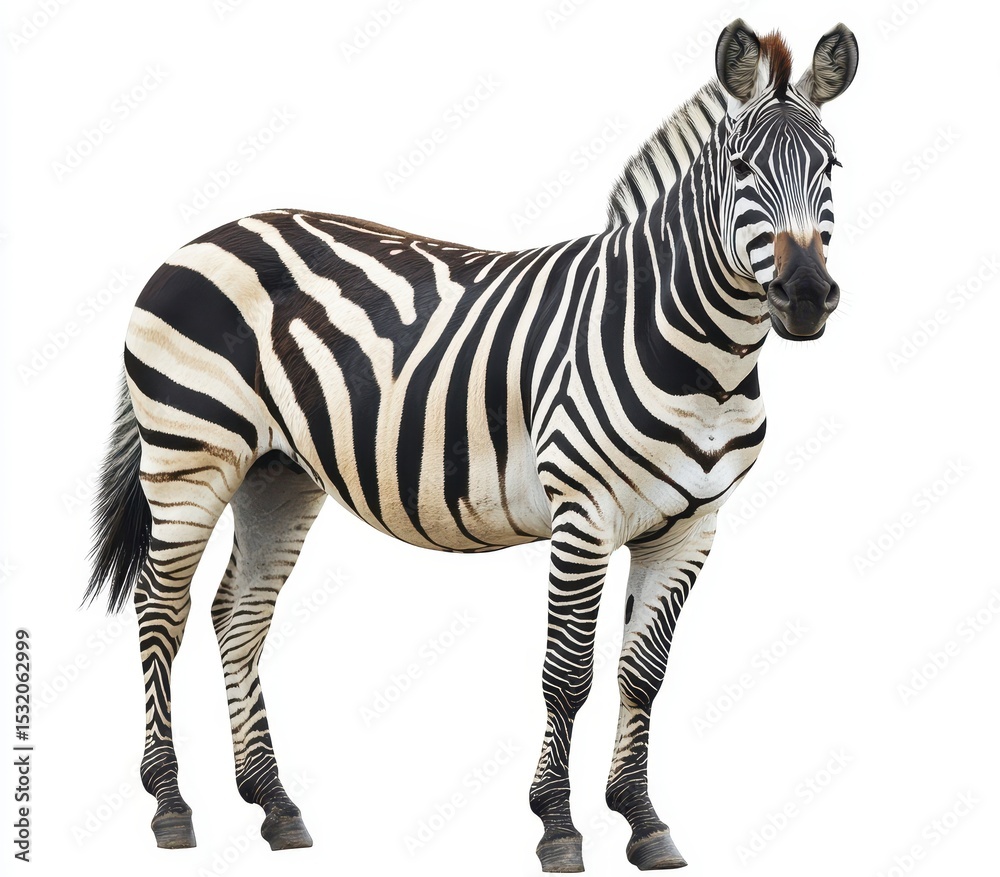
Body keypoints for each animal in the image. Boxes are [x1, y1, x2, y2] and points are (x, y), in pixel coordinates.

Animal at [85, 19, 857, 872]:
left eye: (831, 166)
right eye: (740, 167)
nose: (806, 296)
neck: (696, 354)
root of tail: (198, 240)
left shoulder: (691, 526)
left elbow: (642, 676)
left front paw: (643, 818)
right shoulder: (583, 514)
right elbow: (568, 675)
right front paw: (558, 824)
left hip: (276, 472)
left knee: (239, 611)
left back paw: (274, 802)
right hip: (188, 454)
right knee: (163, 607)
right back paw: (170, 804)